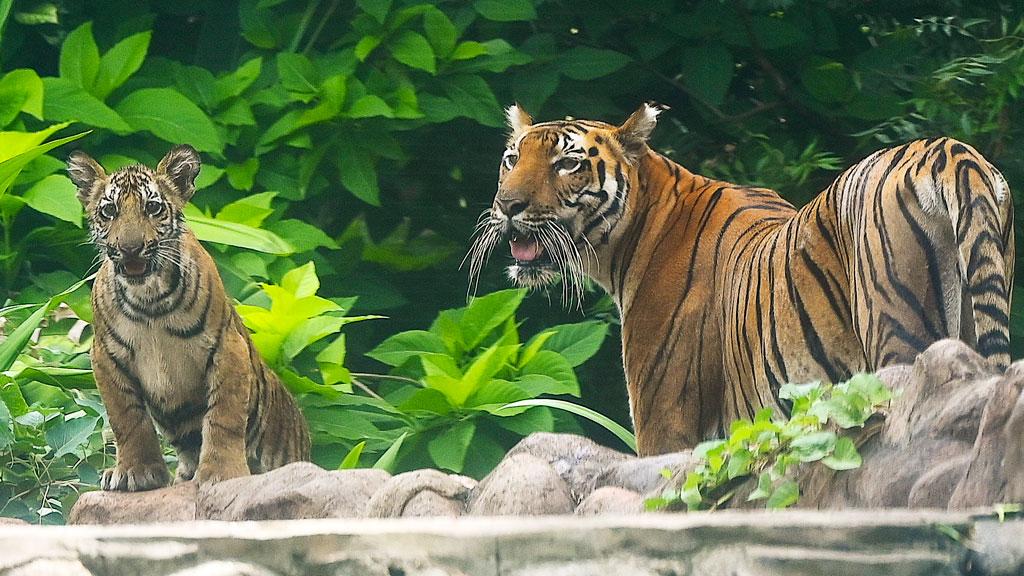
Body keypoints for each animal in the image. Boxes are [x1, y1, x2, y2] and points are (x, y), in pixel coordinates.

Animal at [68, 145, 309, 485]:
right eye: (109, 211)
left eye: (153, 207)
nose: (130, 248)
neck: (149, 300)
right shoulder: (106, 356)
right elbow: (128, 419)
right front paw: (135, 472)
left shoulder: (227, 348)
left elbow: (224, 416)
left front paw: (222, 473)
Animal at [468, 101, 1011, 453]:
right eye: (512, 159)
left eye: (568, 163)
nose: (507, 205)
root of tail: (948, 149)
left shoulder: (665, 424)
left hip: (897, 331)